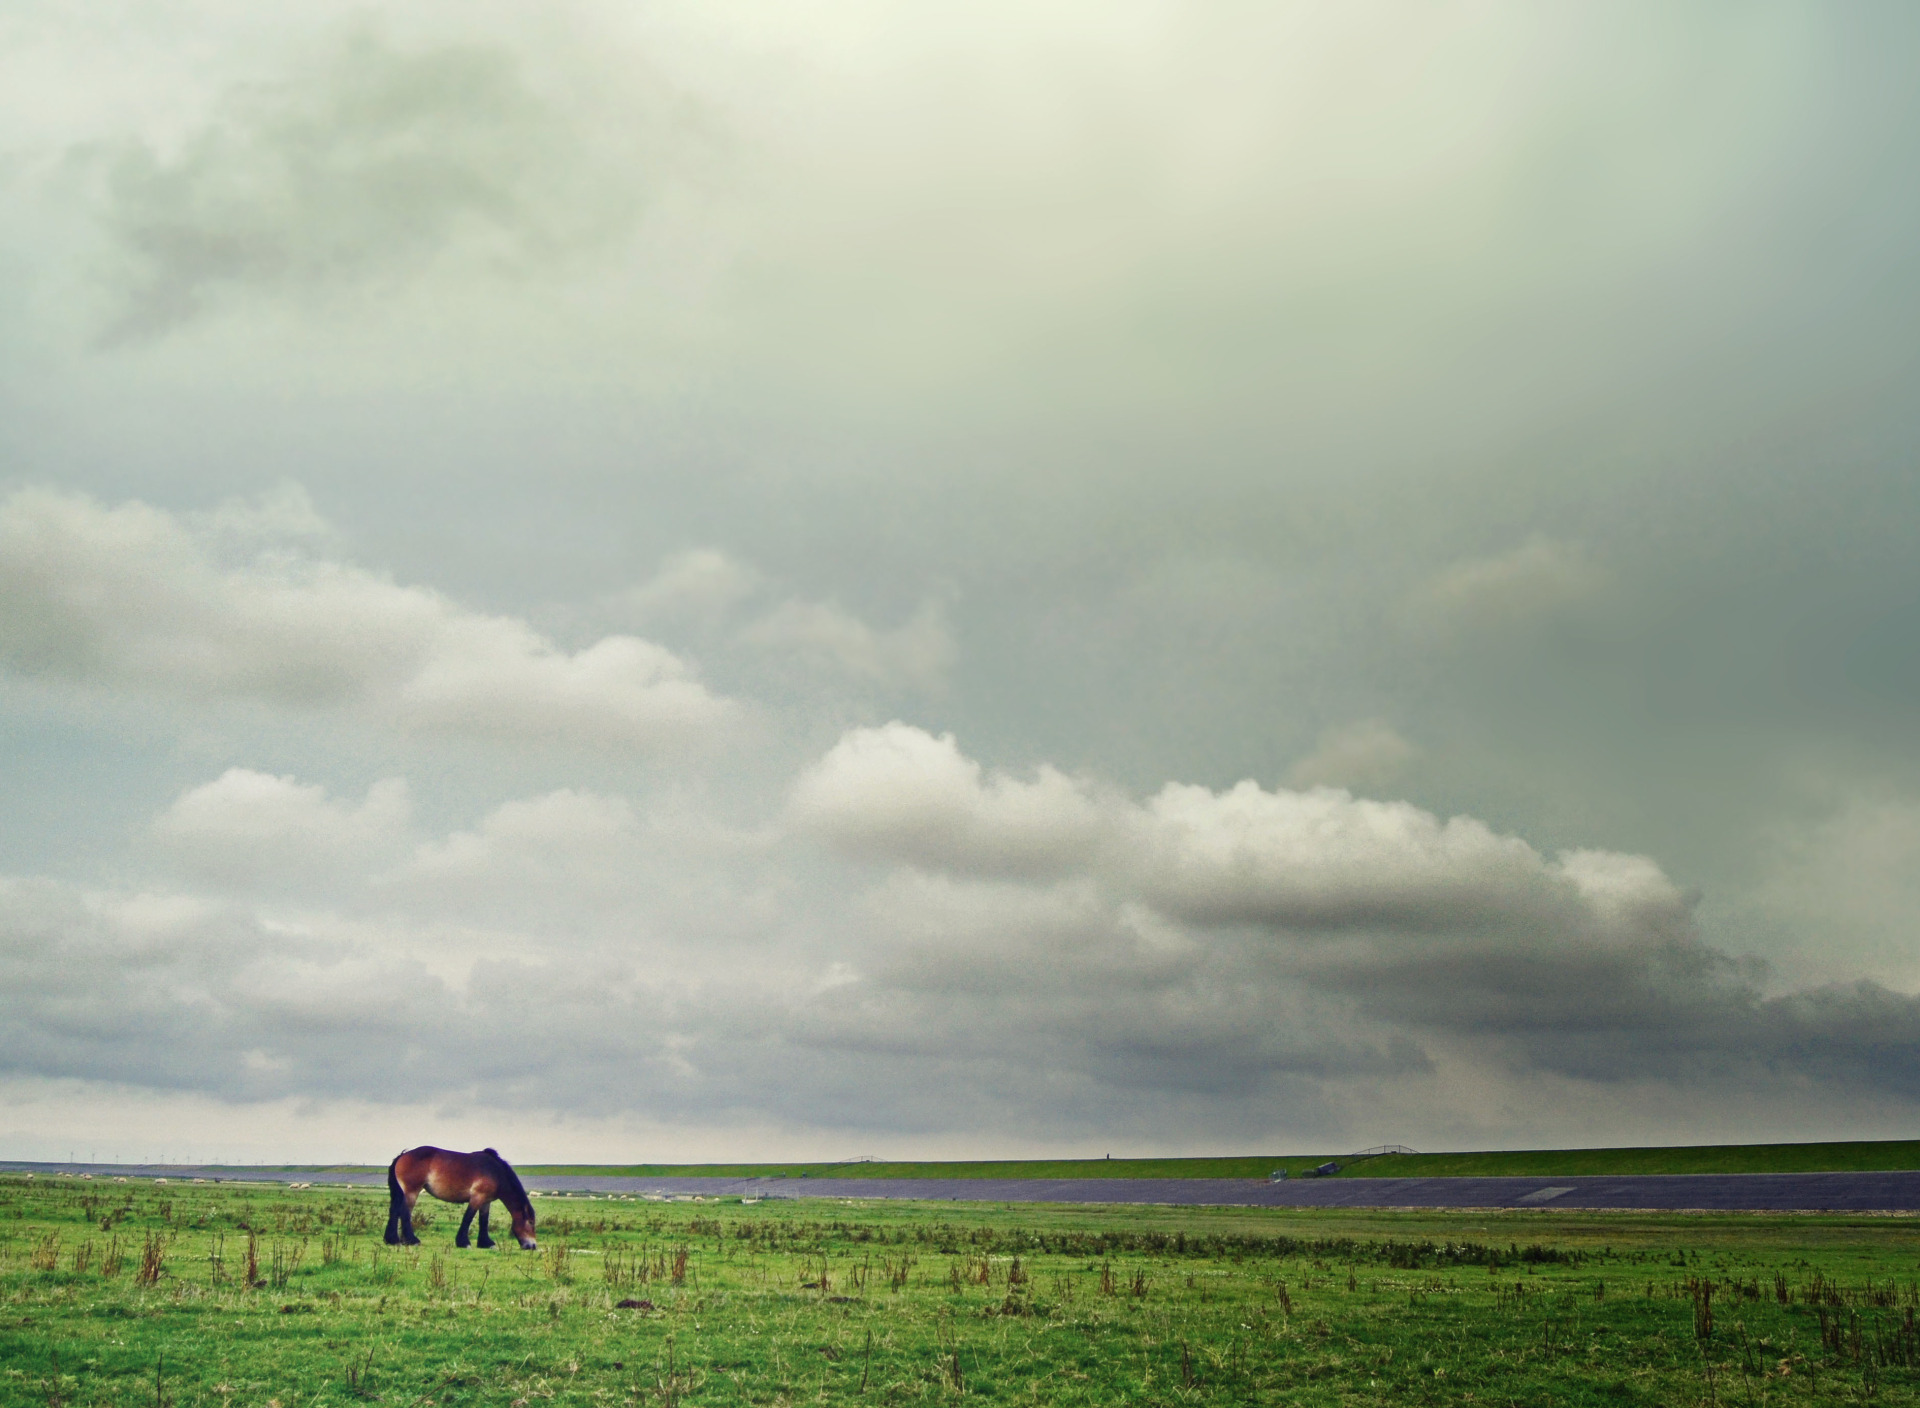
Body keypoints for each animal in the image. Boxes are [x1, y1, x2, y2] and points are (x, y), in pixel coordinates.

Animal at [387, 1144, 541, 1252]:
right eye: (531, 1222)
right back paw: (412, 1240)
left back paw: (393, 1240)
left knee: (395, 1211)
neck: (496, 1173)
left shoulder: (486, 1202)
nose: (533, 1246)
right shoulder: (477, 1197)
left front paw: (485, 1243)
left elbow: (484, 1220)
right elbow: (468, 1217)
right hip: (412, 1192)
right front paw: (463, 1242)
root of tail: (403, 1155)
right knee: (405, 1213)